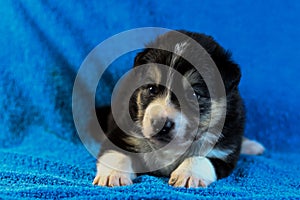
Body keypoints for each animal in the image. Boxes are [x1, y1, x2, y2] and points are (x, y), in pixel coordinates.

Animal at [92, 30, 264, 188]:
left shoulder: (224, 153)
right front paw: (113, 176)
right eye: (152, 89)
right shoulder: (120, 133)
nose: (160, 124)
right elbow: (116, 155)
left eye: (194, 94)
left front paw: (188, 174)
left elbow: (201, 158)